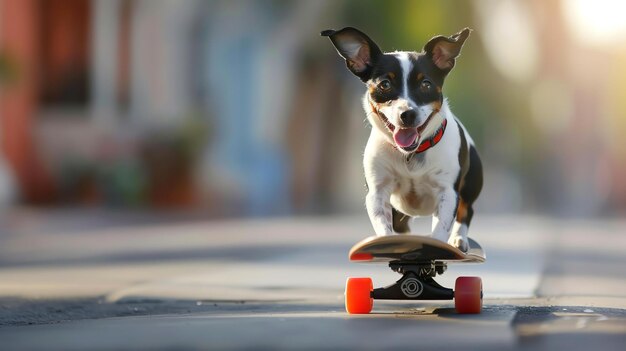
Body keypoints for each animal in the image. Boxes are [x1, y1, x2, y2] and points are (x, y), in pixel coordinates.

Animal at [322, 28, 482, 253]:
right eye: (385, 84)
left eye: (426, 84)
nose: (408, 114)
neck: (410, 154)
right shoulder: (377, 192)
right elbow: (384, 225)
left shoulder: (448, 192)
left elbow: (441, 228)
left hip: (469, 187)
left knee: (466, 211)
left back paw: (459, 239)